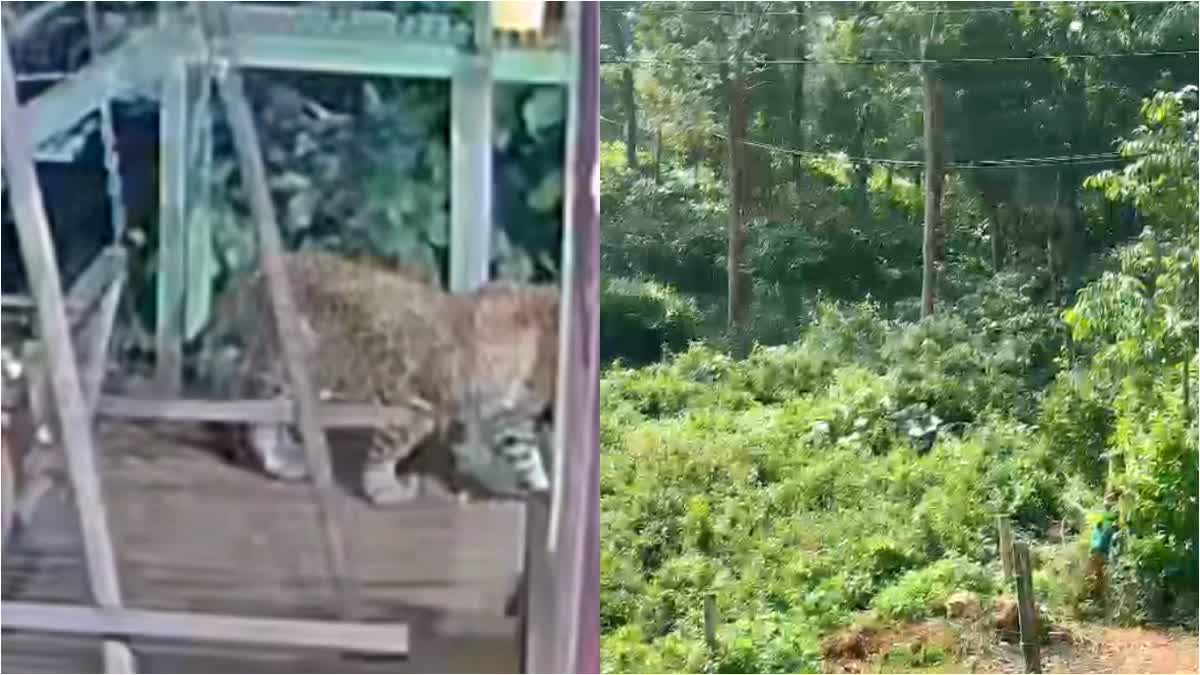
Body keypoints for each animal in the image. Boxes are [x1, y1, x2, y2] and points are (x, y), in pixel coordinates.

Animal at [210, 249, 556, 502]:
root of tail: (256, 274)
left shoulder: (505, 414)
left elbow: (523, 450)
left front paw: (542, 487)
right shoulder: (413, 400)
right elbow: (389, 448)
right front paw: (384, 491)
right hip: (284, 367)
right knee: (247, 402)